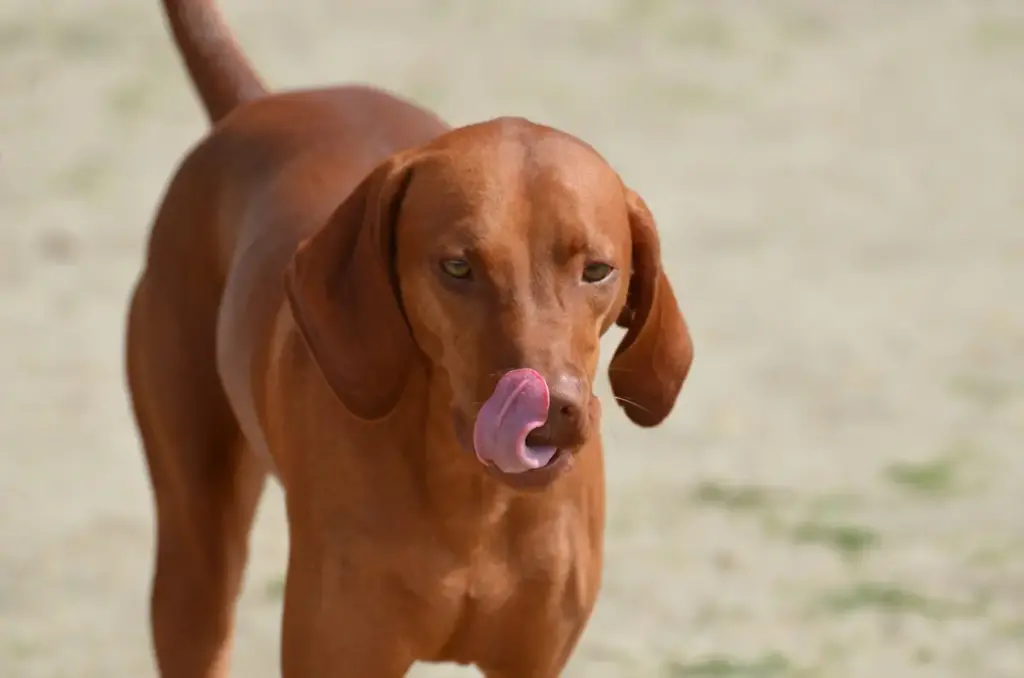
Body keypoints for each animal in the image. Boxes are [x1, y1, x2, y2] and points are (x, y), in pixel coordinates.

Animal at [123, 1, 692, 678]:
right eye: (457, 267)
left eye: (598, 270)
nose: (549, 410)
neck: (474, 500)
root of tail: (257, 103)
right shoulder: (339, 649)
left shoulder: (533, 659)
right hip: (195, 564)